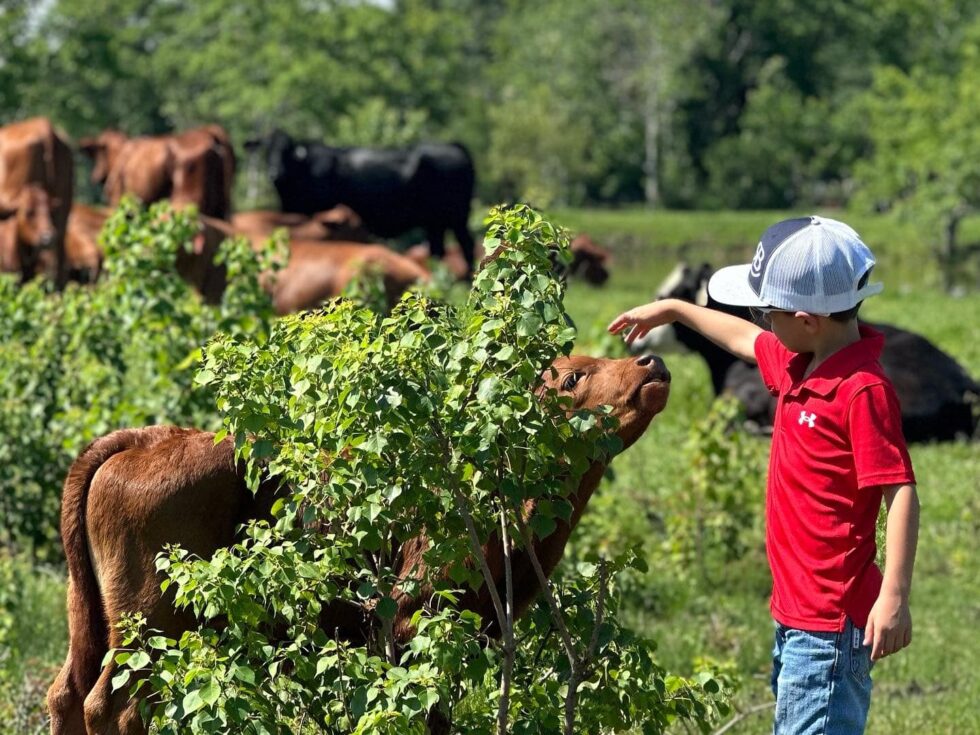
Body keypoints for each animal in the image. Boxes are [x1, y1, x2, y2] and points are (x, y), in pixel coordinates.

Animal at [49, 354, 668, 732]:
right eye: (573, 379)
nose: (651, 362)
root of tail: (140, 440)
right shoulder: (415, 626)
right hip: (151, 626)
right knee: (112, 707)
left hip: (92, 620)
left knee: (67, 695)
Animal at [243, 129, 476, 274]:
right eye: (266, 151)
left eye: (286, 151)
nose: (275, 172)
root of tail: (454, 146)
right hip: (435, 222)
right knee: (438, 251)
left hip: (457, 216)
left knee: (466, 245)